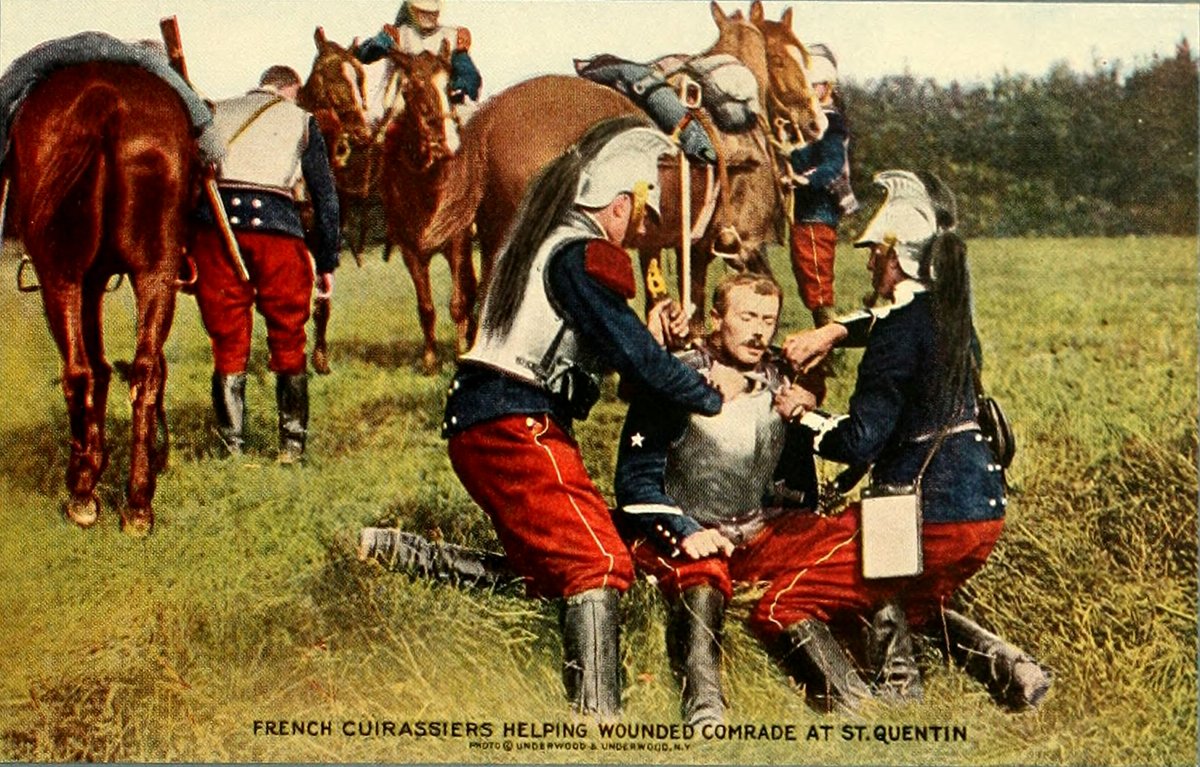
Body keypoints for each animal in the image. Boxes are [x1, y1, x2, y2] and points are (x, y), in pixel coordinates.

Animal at [3, 62, 198, 535]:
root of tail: (105, 99)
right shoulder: (97, 281)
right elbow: (108, 368)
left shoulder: (82, 280)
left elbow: (92, 367)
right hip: (155, 272)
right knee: (145, 371)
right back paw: (138, 502)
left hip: (60, 277)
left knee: (76, 372)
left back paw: (82, 492)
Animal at [378, 43, 476, 373]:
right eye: (411, 90)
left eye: (451, 87)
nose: (445, 143)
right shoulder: (411, 251)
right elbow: (426, 307)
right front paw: (430, 360)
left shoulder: (458, 241)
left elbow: (458, 302)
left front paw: (461, 351)